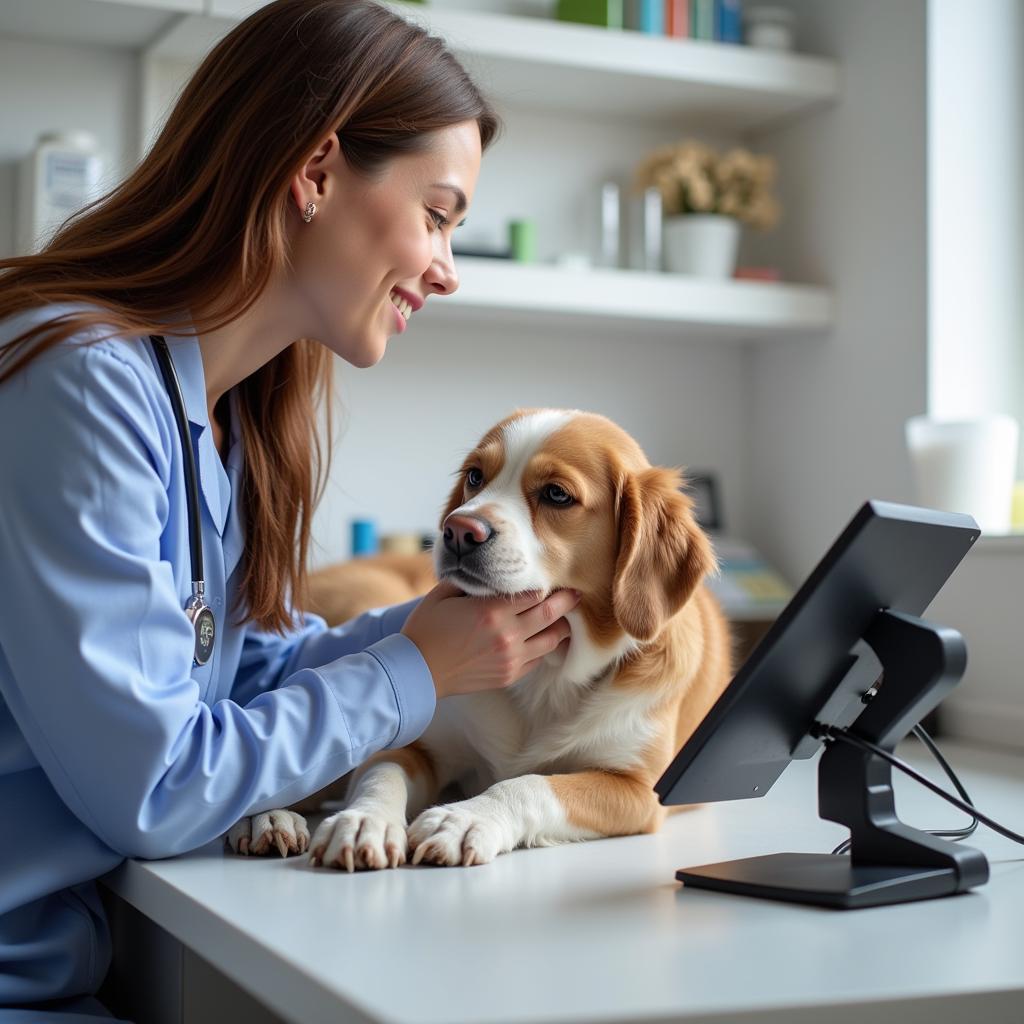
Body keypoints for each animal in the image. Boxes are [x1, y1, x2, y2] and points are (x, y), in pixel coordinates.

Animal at [228, 407, 733, 864]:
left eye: (557, 494)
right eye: (475, 476)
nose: (457, 530)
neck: (550, 673)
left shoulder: (639, 790)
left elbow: (531, 784)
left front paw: (466, 818)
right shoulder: (417, 744)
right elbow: (379, 774)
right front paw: (364, 822)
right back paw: (264, 817)